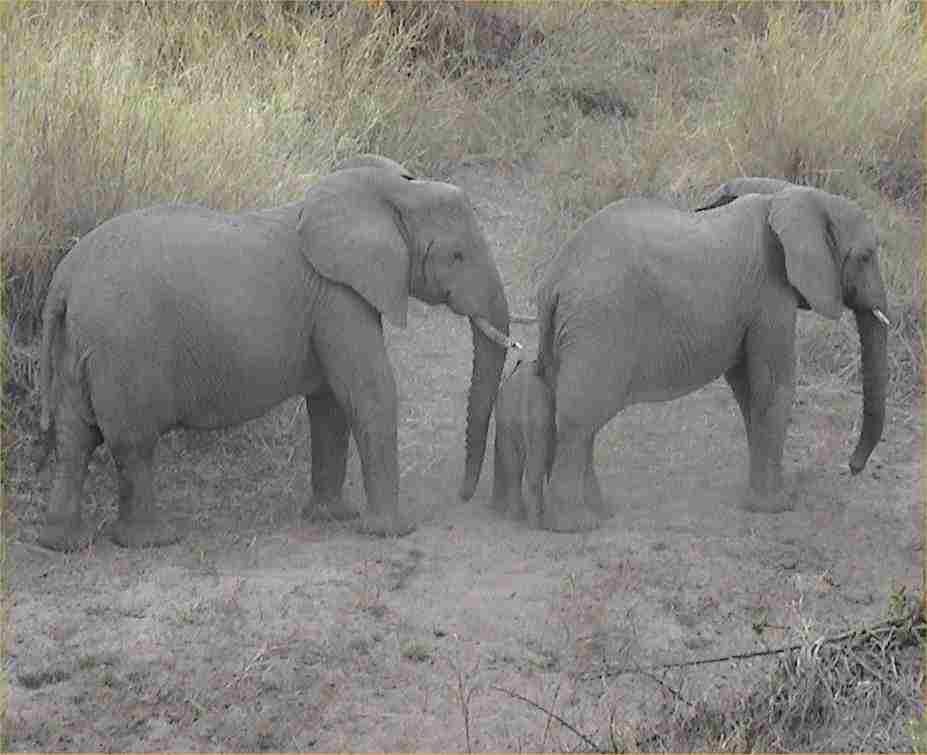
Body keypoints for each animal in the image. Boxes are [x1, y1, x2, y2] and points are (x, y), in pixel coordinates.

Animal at [40, 157, 520, 552]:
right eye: (457, 256)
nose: (463, 497)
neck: (393, 193)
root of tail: (64, 280)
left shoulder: (331, 302)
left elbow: (330, 405)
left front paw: (332, 517)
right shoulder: (339, 298)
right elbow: (369, 393)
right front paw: (393, 532)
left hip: (80, 342)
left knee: (74, 435)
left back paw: (65, 543)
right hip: (124, 348)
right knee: (132, 443)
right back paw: (152, 541)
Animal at [490, 358, 556, 524]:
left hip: (509, 420)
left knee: (513, 467)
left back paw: (515, 517)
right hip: (538, 422)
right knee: (533, 466)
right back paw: (535, 520)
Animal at [536, 177, 892, 532]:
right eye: (865, 256)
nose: (852, 467)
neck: (782, 196)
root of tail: (556, 279)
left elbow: (749, 391)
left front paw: (765, 498)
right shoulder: (770, 294)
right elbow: (773, 386)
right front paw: (777, 506)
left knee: (571, 413)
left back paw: (599, 511)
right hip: (597, 324)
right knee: (579, 419)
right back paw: (575, 524)